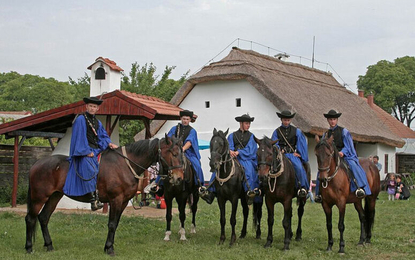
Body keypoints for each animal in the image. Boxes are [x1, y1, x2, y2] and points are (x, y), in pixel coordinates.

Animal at [24, 136, 184, 256]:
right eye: (174, 153)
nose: (179, 178)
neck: (125, 165)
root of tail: (36, 164)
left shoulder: (123, 202)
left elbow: (116, 224)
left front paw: (108, 246)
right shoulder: (115, 200)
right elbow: (112, 224)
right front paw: (109, 248)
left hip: (54, 197)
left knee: (43, 218)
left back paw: (49, 245)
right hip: (39, 198)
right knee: (30, 219)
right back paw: (29, 247)